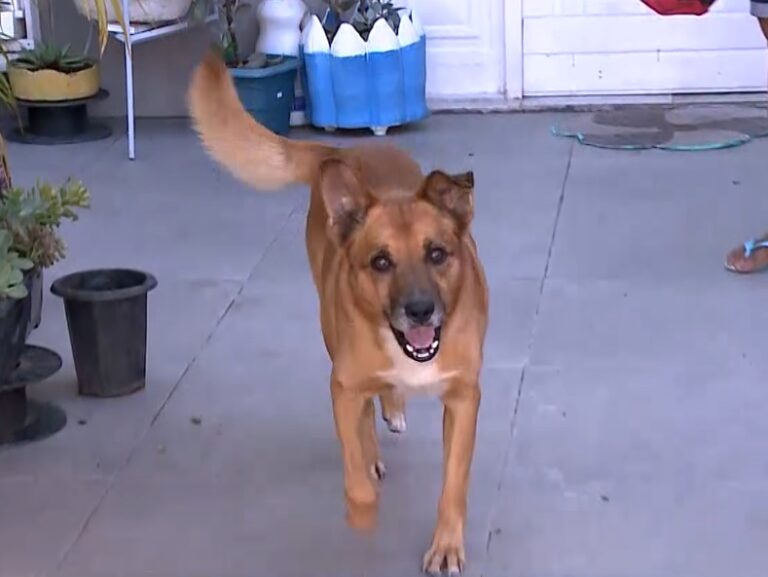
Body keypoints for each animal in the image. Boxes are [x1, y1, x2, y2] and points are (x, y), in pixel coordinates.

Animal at [188, 53, 486, 572]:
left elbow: (453, 484)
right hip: (331, 335)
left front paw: (447, 545)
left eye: (437, 254)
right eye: (381, 262)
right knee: (364, 418)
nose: (420, 311)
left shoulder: (464, 399)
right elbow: (356, 468)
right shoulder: (343, 387)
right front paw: (363, 512)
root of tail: (340, 154)